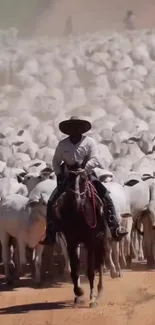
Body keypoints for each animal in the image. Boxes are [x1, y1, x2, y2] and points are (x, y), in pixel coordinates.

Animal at [52, 167, 105, 306]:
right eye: (69, 180)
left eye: (84, 179)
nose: (77, 201)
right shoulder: (71, 242)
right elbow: (75, 269)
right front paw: (78, 292)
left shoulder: (91, 241)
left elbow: (91, 270)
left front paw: (92, 298)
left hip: (101, 240)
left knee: (100, 262)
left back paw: (100, 290)